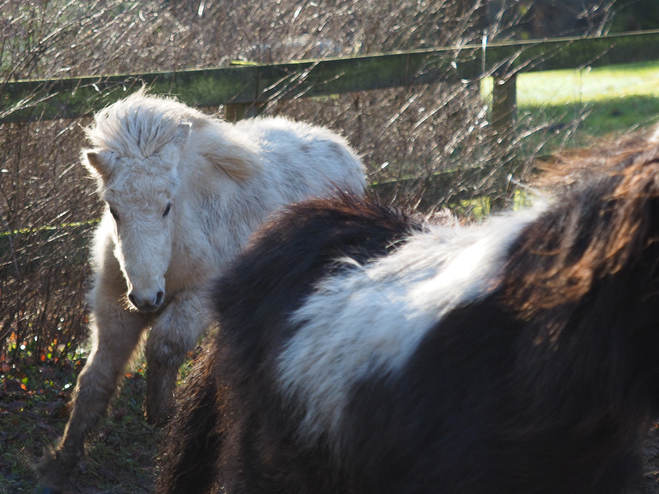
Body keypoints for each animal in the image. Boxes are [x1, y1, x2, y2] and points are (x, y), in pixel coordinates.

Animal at [37, 89, 366, 490]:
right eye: (114, 209)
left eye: (167, 206)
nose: (146, 298)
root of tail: (344, 150)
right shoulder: (114, 306)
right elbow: (95, 378)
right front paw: (63, 460)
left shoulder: (197, 298)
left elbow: (164, 346)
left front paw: (161, 414)